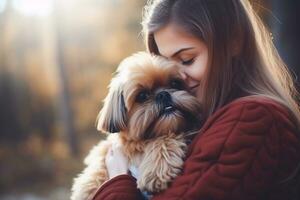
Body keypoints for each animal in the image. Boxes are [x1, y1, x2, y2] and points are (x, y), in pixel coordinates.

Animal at [70, 52, 202, 200]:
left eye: (175, 83)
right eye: (142, 95)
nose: (163, 94)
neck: (140, 144)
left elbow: (164, 140)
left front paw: (155, 171)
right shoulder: (109, 148)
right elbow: (100, 162)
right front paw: (86, 189)